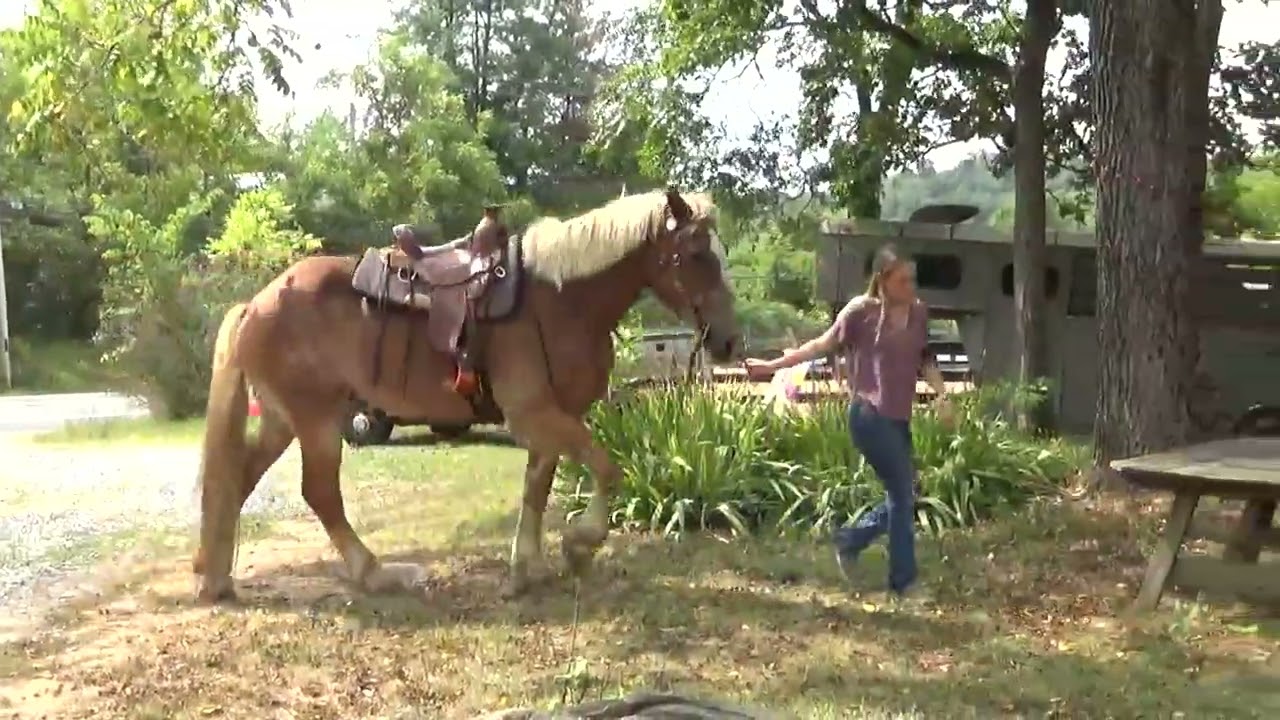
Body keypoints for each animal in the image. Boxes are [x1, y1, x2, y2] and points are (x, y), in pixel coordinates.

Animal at [192, 188, 744, 603]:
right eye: (697, 254)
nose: (728, 342)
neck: (562, 299)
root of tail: (255, 303)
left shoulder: (551, 417)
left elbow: (537, 488)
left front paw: (526, 569)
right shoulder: (536, 414)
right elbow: (607, 469)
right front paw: (578, 544)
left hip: (283, 420)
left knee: (239, 478)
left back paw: (216, 577)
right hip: (317, 420)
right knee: (320, 492)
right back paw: (375, 572)